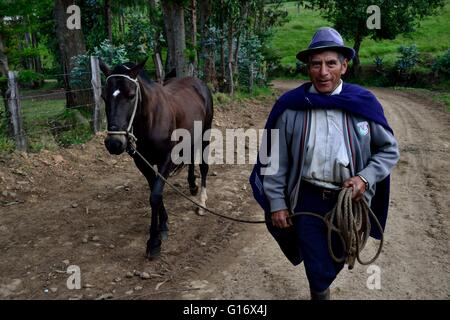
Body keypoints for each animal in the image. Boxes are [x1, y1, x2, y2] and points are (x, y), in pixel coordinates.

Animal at [100, 60, 214, 258]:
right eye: (104, 97)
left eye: (131, 96)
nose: (114, 143)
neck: (150, 119)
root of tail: (198, 83)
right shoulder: (142, 162)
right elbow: (155, 191)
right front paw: (163, 225)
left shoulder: (166, 160)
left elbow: (155, 195)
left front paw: (154, 242)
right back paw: (192, 185)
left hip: (205, 133)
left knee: (204, 167)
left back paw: (201, 203)